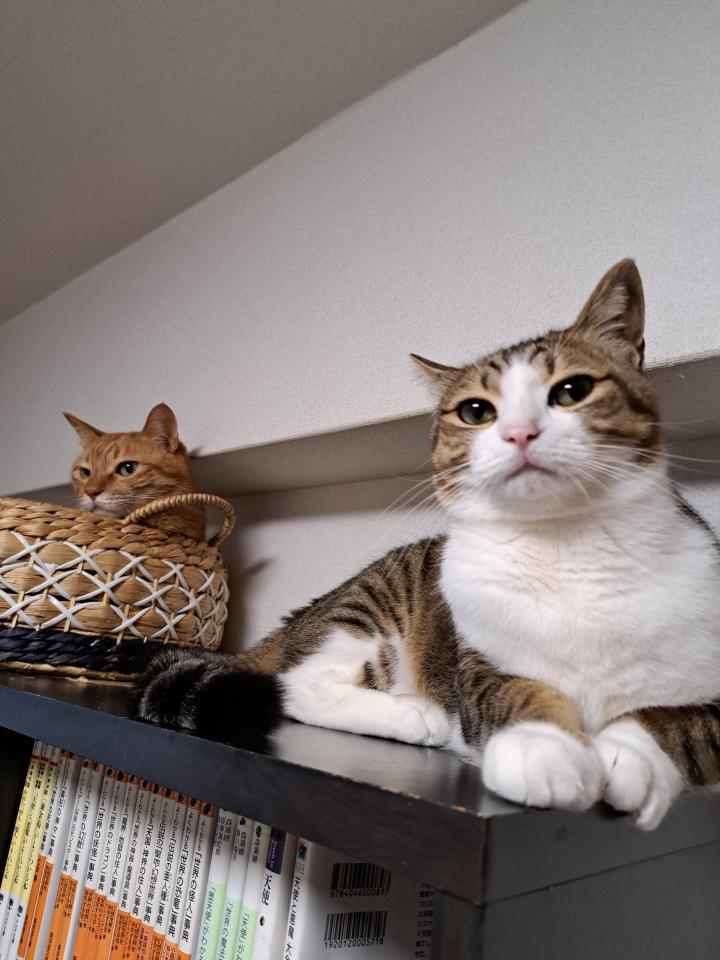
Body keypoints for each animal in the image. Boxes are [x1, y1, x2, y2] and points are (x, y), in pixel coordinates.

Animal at [131, 260, 720, 829]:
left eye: (573, 390)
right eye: (477, 411)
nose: (520, 432)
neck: (565, 544)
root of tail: (299, 617)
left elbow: (676, 722)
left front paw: (628, 759)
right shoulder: (479, 668)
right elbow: (520, 692)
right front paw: (543, 748)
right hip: (375, 604)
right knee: (296, 684)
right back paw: (414, 715)